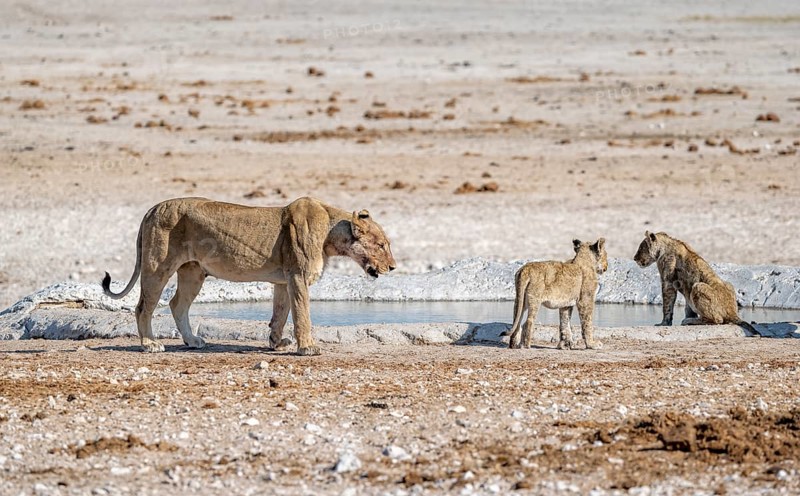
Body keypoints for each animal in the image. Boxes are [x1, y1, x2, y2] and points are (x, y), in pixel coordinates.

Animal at [102, 197, 396, 355]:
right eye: (382, 245)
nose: (393, 267)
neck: (332, 235)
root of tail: (151, 209)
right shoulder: (298, 276)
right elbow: (302, 315)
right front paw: (307, 347)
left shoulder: (283, 280)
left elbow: (280, 313)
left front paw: (276, 343)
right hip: (157, 266)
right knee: (143, 307)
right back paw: (150, 344)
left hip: (193, 271)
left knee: (177, 304)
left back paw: (193, 341)